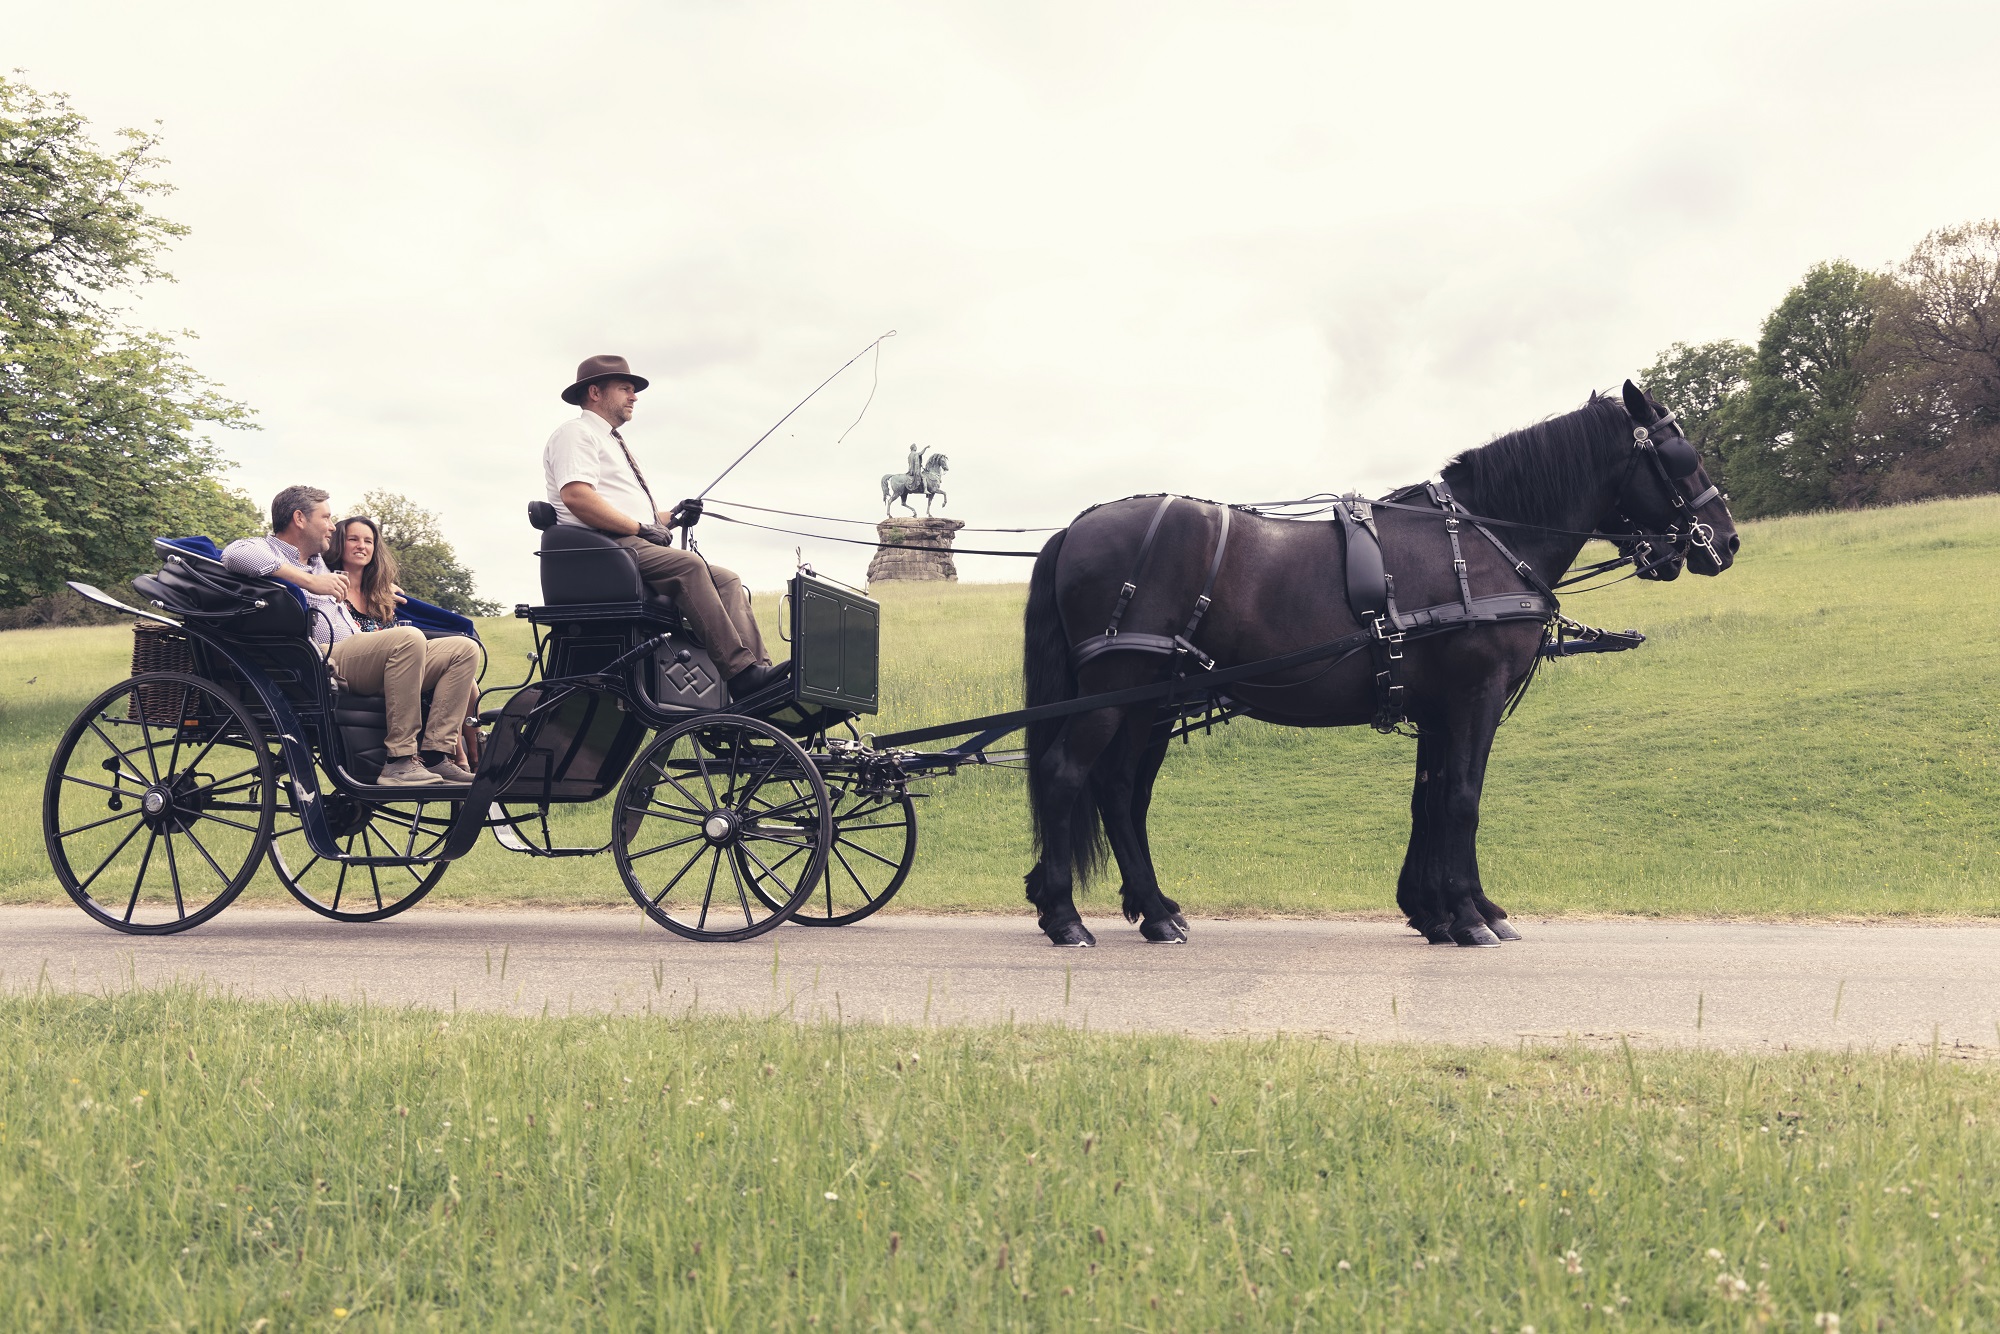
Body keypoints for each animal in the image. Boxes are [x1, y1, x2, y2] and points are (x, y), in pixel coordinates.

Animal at [1020, 381, 1738, 948]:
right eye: (1681, 454)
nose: (1726, 541)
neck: (1484, 539)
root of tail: (1074, 528)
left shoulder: (1438, 709)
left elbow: (1430, 800)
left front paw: (1438, 911)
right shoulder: (1474, 698)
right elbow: (1463, 799)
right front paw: (1470, 917)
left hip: (1149, 701)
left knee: (1120, 791)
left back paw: (1157, 913)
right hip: (1117, 690)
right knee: (1065, 774)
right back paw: (1065, 917)